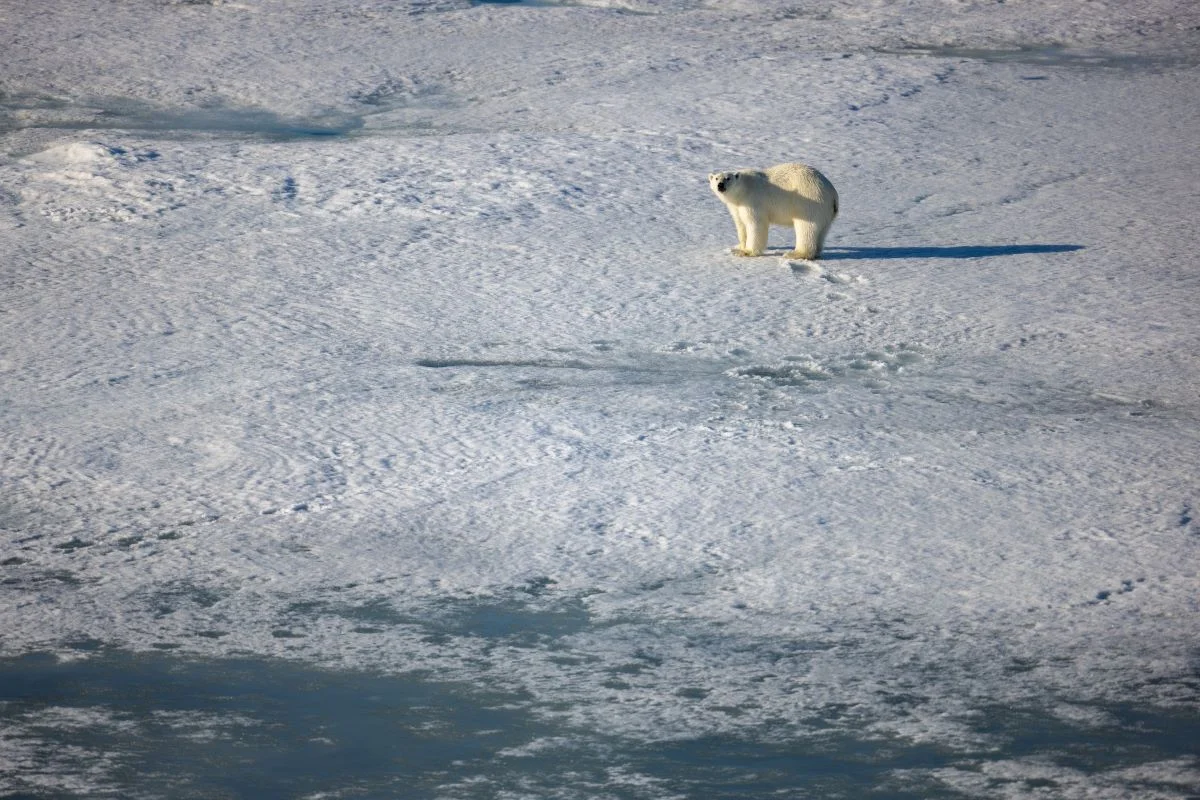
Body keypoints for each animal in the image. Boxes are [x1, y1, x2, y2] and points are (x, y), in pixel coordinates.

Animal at [705, 163, 840, 260]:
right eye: (716, 178)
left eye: (728, 178)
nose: (720, 185)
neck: (743, 189)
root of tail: (833, 194)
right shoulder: (736, 206)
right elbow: (741, 224)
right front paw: (739, 247)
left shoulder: (753, 200)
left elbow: (755, 224)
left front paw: (747, 252)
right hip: (824, 212)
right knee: (822, 231)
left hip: (809, 202)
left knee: (806, 228)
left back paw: (795, 254)